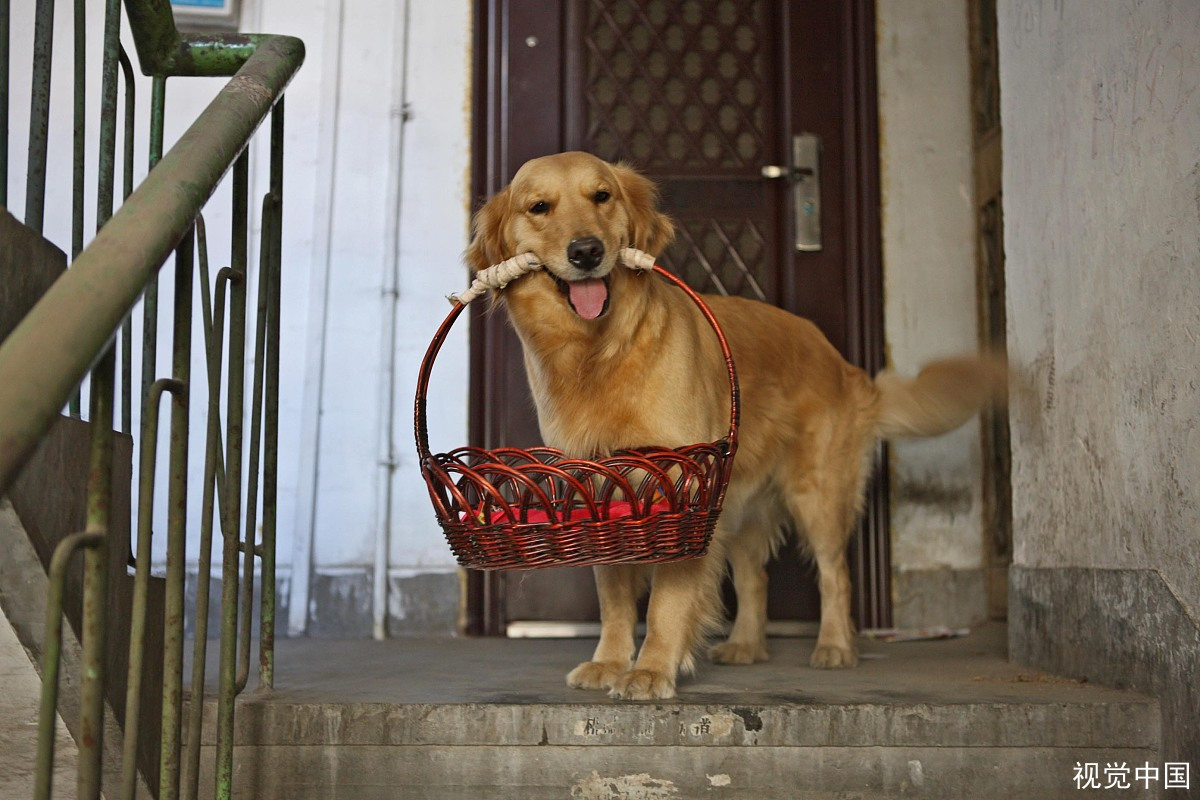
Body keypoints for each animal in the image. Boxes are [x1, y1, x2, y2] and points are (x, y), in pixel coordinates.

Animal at [465, 151, 1003, 700]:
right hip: (740, 501)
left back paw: (834, 646)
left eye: (602, 196)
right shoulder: (599, 494)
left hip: (816, 493)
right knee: (754, 576)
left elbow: (666, 601)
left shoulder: (683, 490)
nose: (587, 251)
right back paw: (746, 645)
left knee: (836, 574)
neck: (601, 352)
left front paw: (652, 669)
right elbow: (613, 594)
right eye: (539, 207)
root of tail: (841, 361)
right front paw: (609, 661)